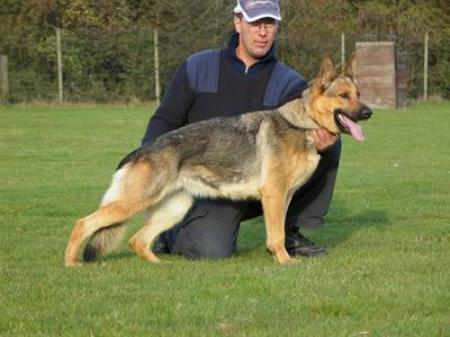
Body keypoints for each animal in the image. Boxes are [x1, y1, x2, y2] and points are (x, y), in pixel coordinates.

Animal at [64, 55, 372, 266]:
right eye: (344, 96)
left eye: (359, 95)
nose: (368, 112)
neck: (302, 123)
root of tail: (141, 151)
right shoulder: (273, 194)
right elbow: (276, 235)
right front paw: (284, 261)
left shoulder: (284, 197)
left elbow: (281, 230)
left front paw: (281, 256)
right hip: (133, 203)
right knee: (83, 224)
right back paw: (71, 263)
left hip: (173, 209)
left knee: (137, 240)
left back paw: (159, 264)